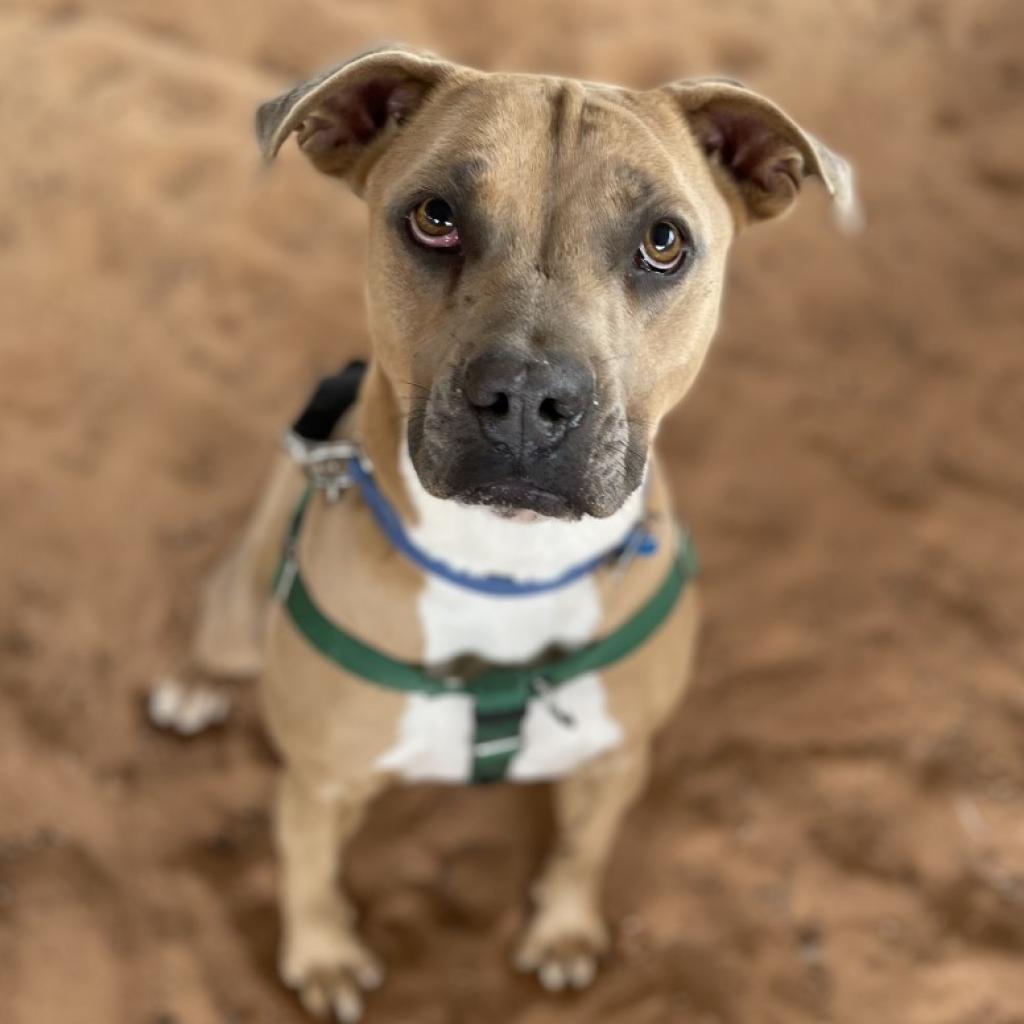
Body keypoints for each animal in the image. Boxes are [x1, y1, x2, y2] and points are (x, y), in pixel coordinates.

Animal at [149, 48, 856, 1024]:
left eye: (664, 242)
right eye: (435, 217)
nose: (527, 396)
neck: (505, 563)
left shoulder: (616, 760)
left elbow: (582, 851)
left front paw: (562, 932)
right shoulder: (317, 783)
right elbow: (309, 874)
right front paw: (323, 959)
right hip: (239, 603)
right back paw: (192, 685)